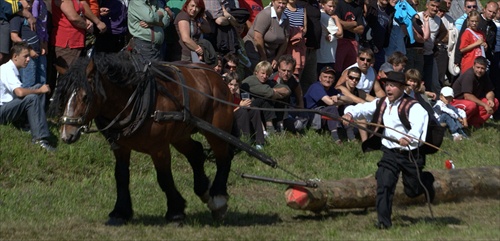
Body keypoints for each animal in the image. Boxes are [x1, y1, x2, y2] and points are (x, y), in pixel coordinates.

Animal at [48, 51, 234, 225]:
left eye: (85, 97)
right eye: (63, 96)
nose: (67, 134)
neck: (133, 98)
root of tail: (216, 76)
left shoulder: (159, 148)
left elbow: (164, 178)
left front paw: (175, 212)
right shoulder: (120, 147)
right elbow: (121, 176)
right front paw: (120, 212)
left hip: (216, 129)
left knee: (224, 157)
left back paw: (218, 199)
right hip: (180, 134)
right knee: (196, 152)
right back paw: (204, 190)